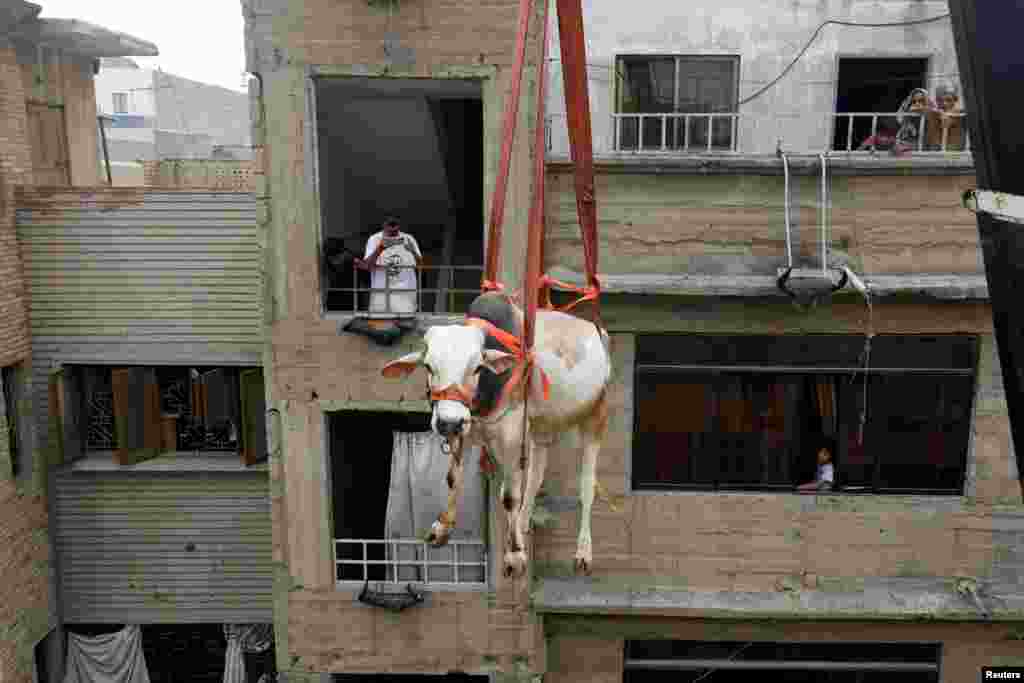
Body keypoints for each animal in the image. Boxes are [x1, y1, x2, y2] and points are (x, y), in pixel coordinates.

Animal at [382, 290, 606, 581]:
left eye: (477, 367)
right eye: (429, 366)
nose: (448, 422)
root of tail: (597, 331)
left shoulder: (511, 440)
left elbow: (509, 496)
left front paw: (515, 556)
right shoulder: (464, 432)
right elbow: (453, 478)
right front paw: (442, 527)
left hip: (595, 419)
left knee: (587, 487)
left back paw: (583, 552)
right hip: (541, 427)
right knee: (536, 476)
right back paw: (523, 523)